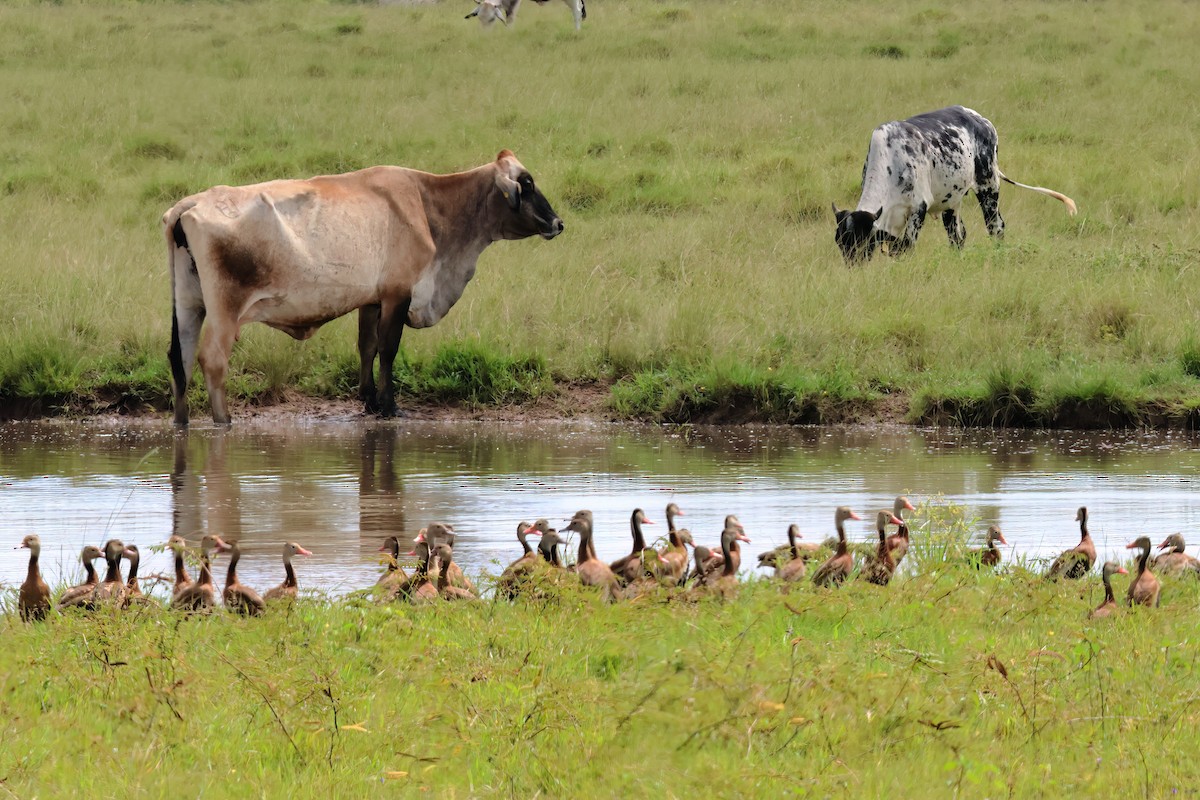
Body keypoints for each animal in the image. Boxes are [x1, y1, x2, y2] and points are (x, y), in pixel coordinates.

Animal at [160, 149, 566, 424]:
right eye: (526, 184)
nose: (558, 223)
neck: (428, 203)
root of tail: (190, 203)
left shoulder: (371, 299)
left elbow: (366, 347)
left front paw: (368, 400)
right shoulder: (398, 292)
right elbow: (387, 349)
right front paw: (388, 405)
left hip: (188, 305)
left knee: (180, 359)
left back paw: (182, 422)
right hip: (225, 310)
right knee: (212, 360)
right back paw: (223, 422)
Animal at [835, 104, 1080, 262]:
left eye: (862, 243)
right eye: (841, 243)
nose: (853, 267)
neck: (891, 159)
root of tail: (980, 119)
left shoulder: (918, 209)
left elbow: (906, 247)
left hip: (988, 185)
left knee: (995, 225)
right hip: (951, 201)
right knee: (957, 235)